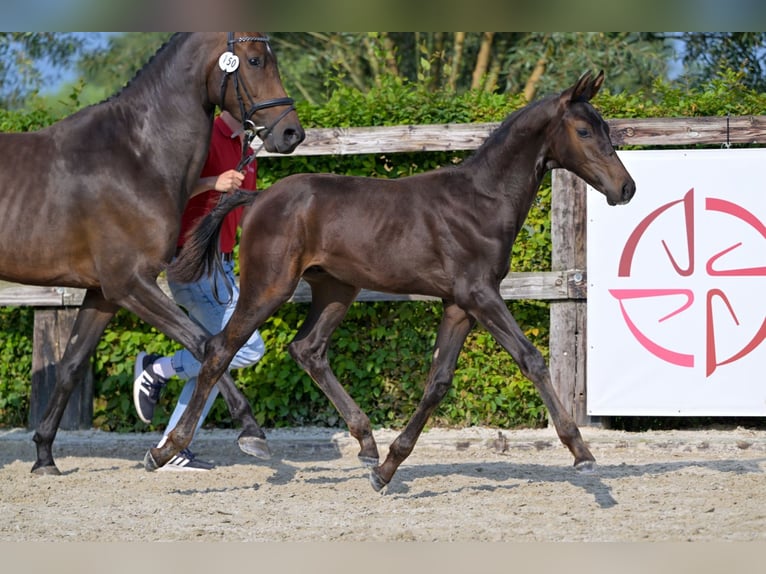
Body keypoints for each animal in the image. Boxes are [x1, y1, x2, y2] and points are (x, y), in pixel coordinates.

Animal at [0, 31, 306, 476]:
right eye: (253, 61)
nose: (291, 134)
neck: (136, 156)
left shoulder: (104, 293)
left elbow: (71, 366)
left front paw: (43, 457)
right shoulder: (131, 283)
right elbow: (206, 344)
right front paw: (250, 430)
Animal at [162, 70, 636, 492]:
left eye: (606, 127)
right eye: (583, 130)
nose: (626, 188)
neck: (482, 201)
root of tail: (260, 196)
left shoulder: (459, 305)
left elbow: (438, 381)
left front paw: (387, 468)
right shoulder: (480, 294)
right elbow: (531, 359)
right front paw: (582, 453)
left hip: (336, 289)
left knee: (307, 349)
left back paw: (367, 444)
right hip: (269, 286)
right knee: (219, 349)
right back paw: (168, 449)